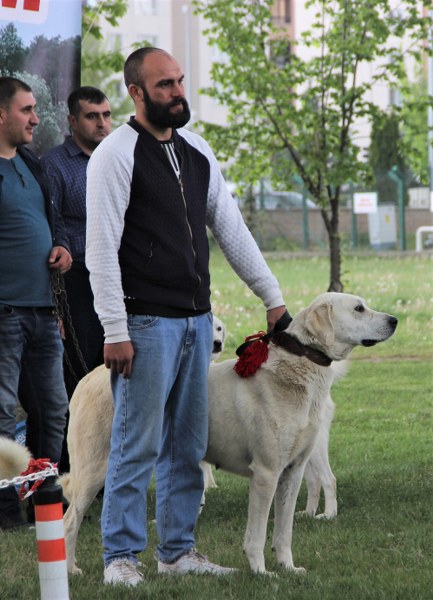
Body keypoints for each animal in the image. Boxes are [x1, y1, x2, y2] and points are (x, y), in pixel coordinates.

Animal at [59, 292, 396, 576]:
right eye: (359, 308)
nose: (394, 320)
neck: (299, 370)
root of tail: (87, 378)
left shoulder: (293, 471)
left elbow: (283, 532)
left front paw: (288, 568)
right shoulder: (266, 473)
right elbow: (257, 535)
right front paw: (261, 573)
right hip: (96, 468)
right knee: (69, 521)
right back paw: (71, 570)